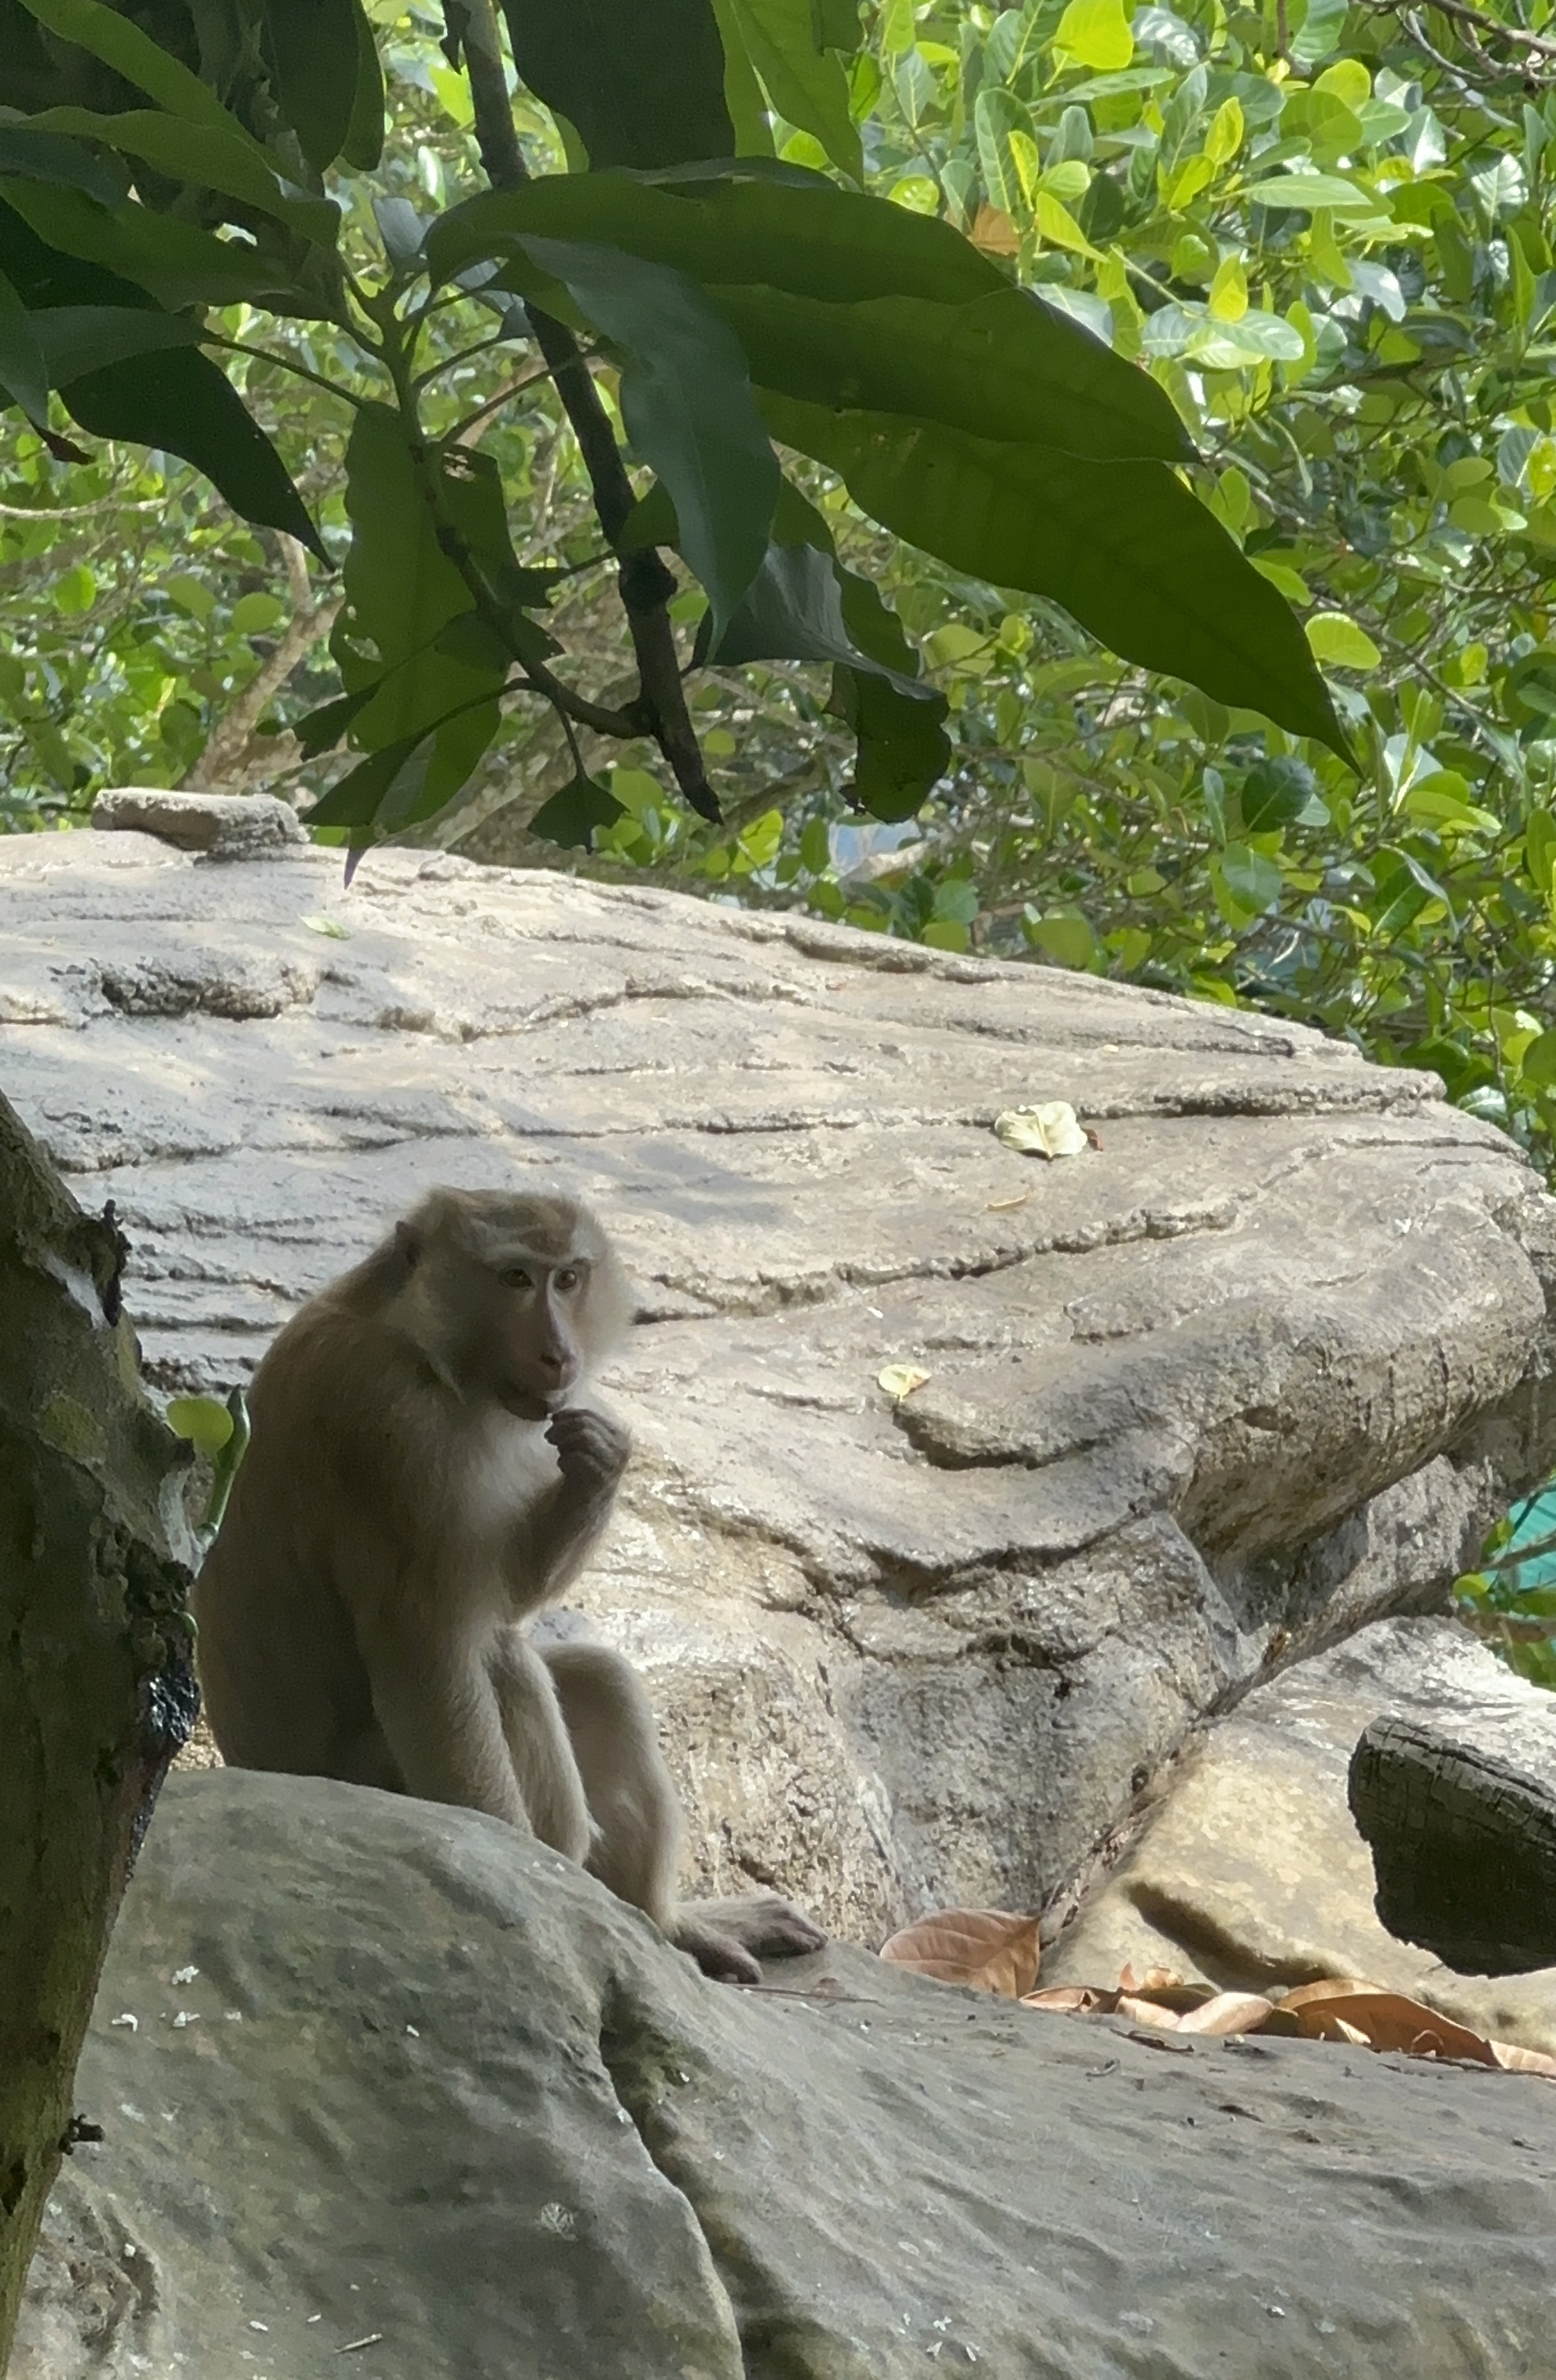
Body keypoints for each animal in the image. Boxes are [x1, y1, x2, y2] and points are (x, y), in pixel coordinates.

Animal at [191, 1190, 828, 1989]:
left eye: (569, 1279)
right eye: (516, 1278)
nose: (559, 1353)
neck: (419, 1343)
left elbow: (507, 1592)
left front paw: (601, 1463)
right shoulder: (396, 1436)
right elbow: (429, 1660)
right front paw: (524, 1892)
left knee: (596, 1677)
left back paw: (667, 1923)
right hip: (372, 1787)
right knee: (503, 1664)